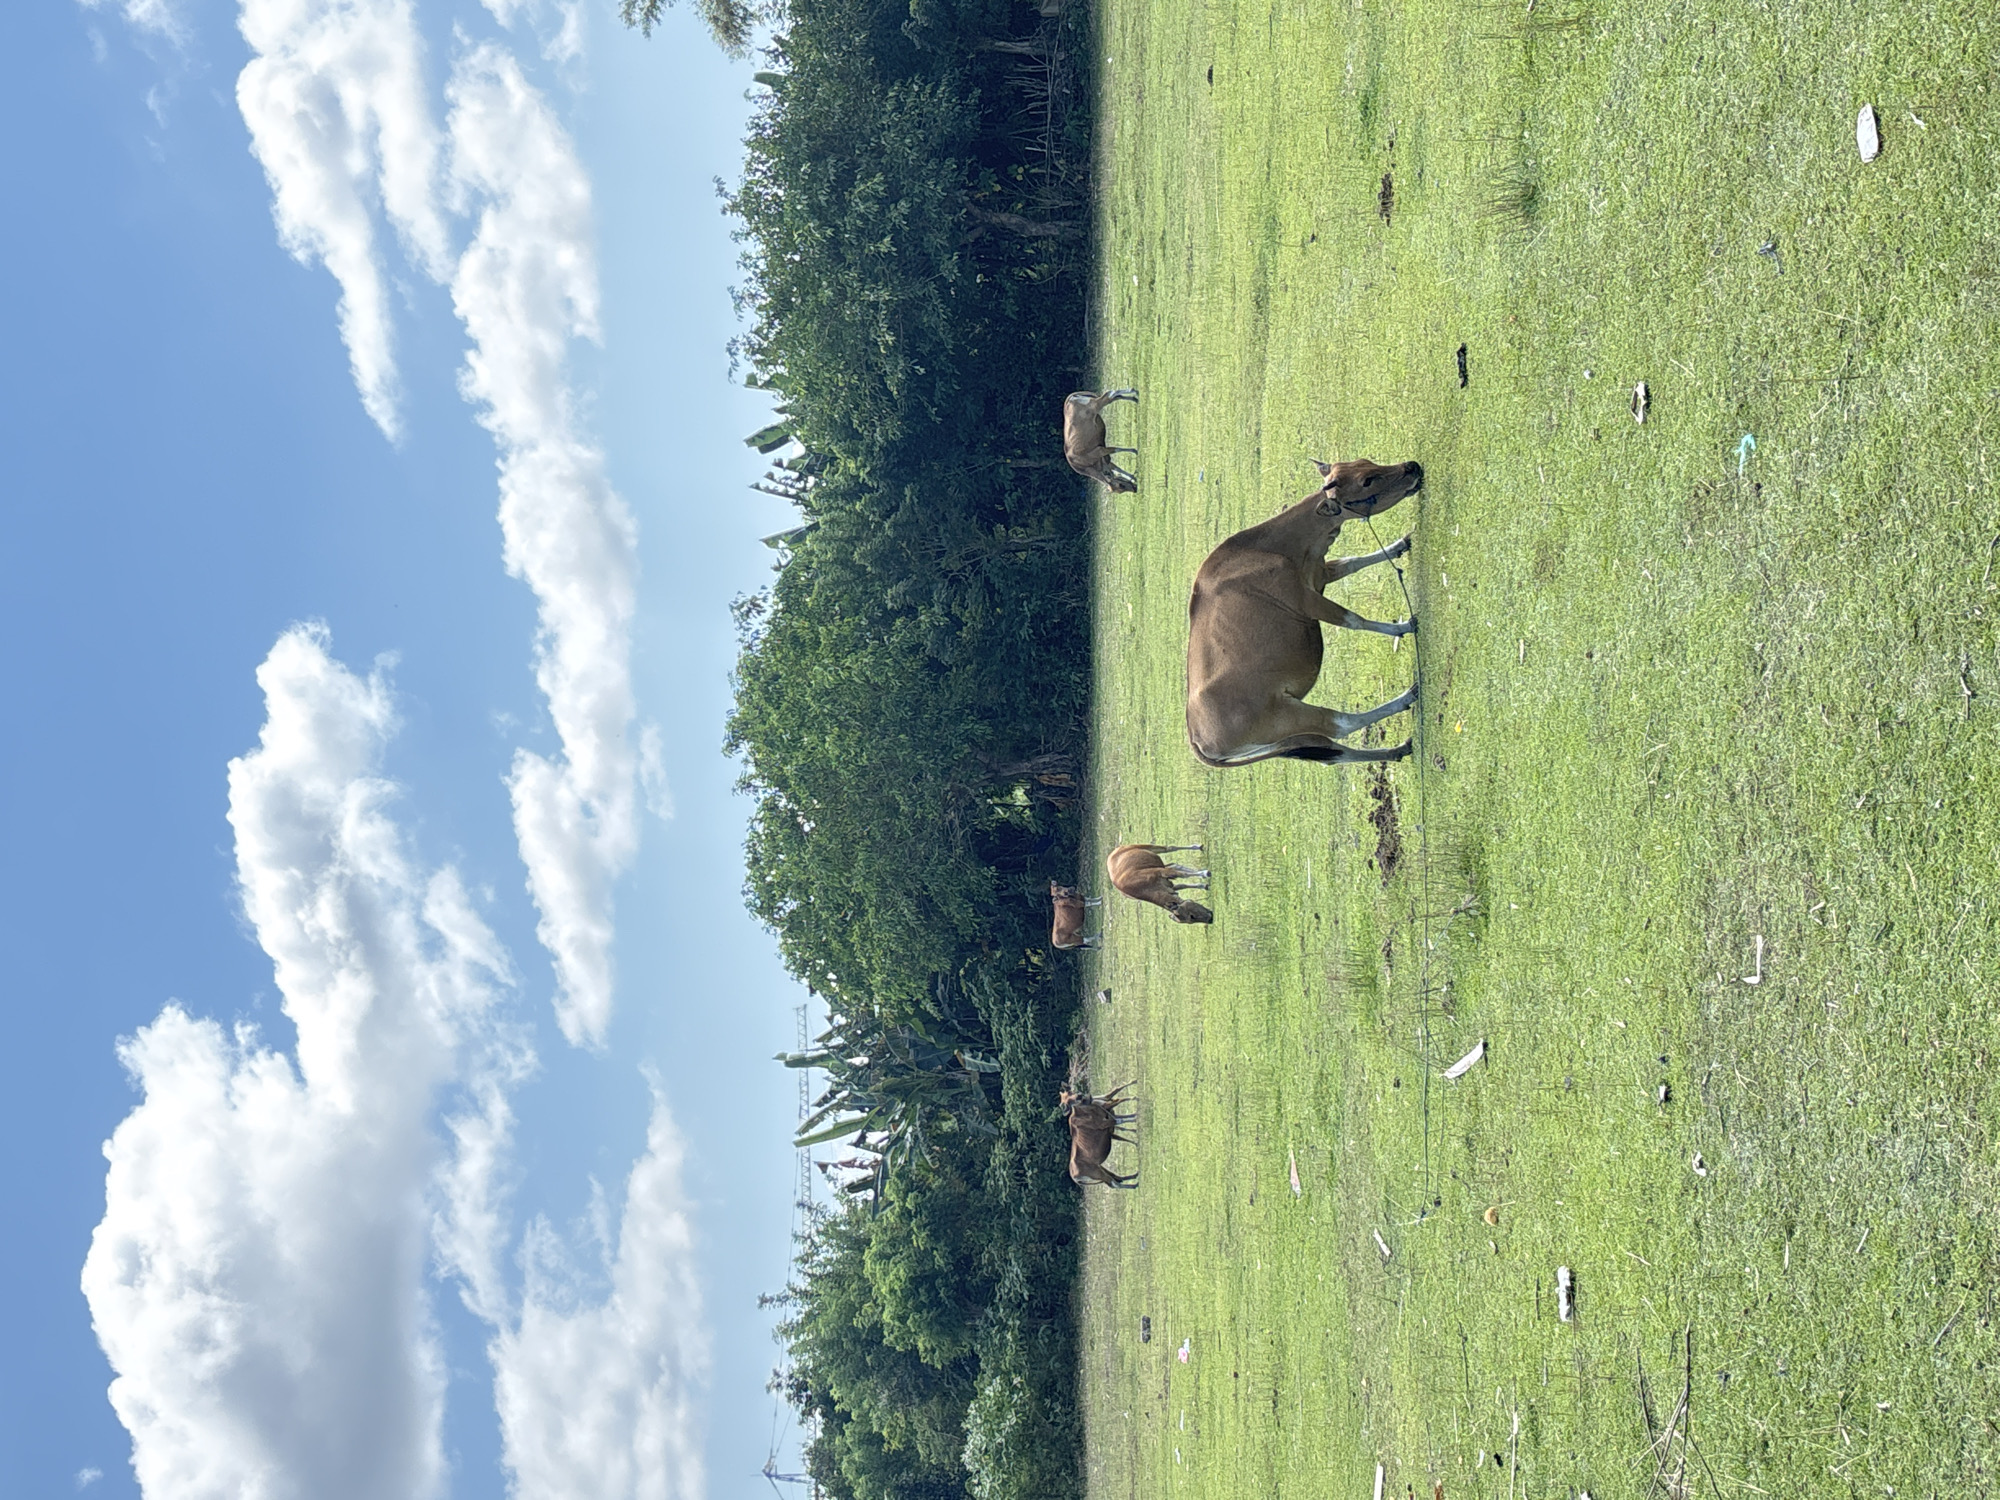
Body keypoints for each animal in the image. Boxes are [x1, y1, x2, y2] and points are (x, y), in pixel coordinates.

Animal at [1186, 457, 1424, 767]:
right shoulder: (1308, 601)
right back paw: (1407, 696)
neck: (1273, 549)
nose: (1412, 466)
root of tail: (1198, 740)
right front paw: (1403, 626)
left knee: (1331, 754)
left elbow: (1352, 562)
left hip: (1290, 741)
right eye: (1366, 481)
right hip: (1289, 716)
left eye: (1365, 462)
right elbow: (1353, 620)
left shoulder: (1320, 572)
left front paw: (1397, 546)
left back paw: (1395, 751)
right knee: (1341, 724)